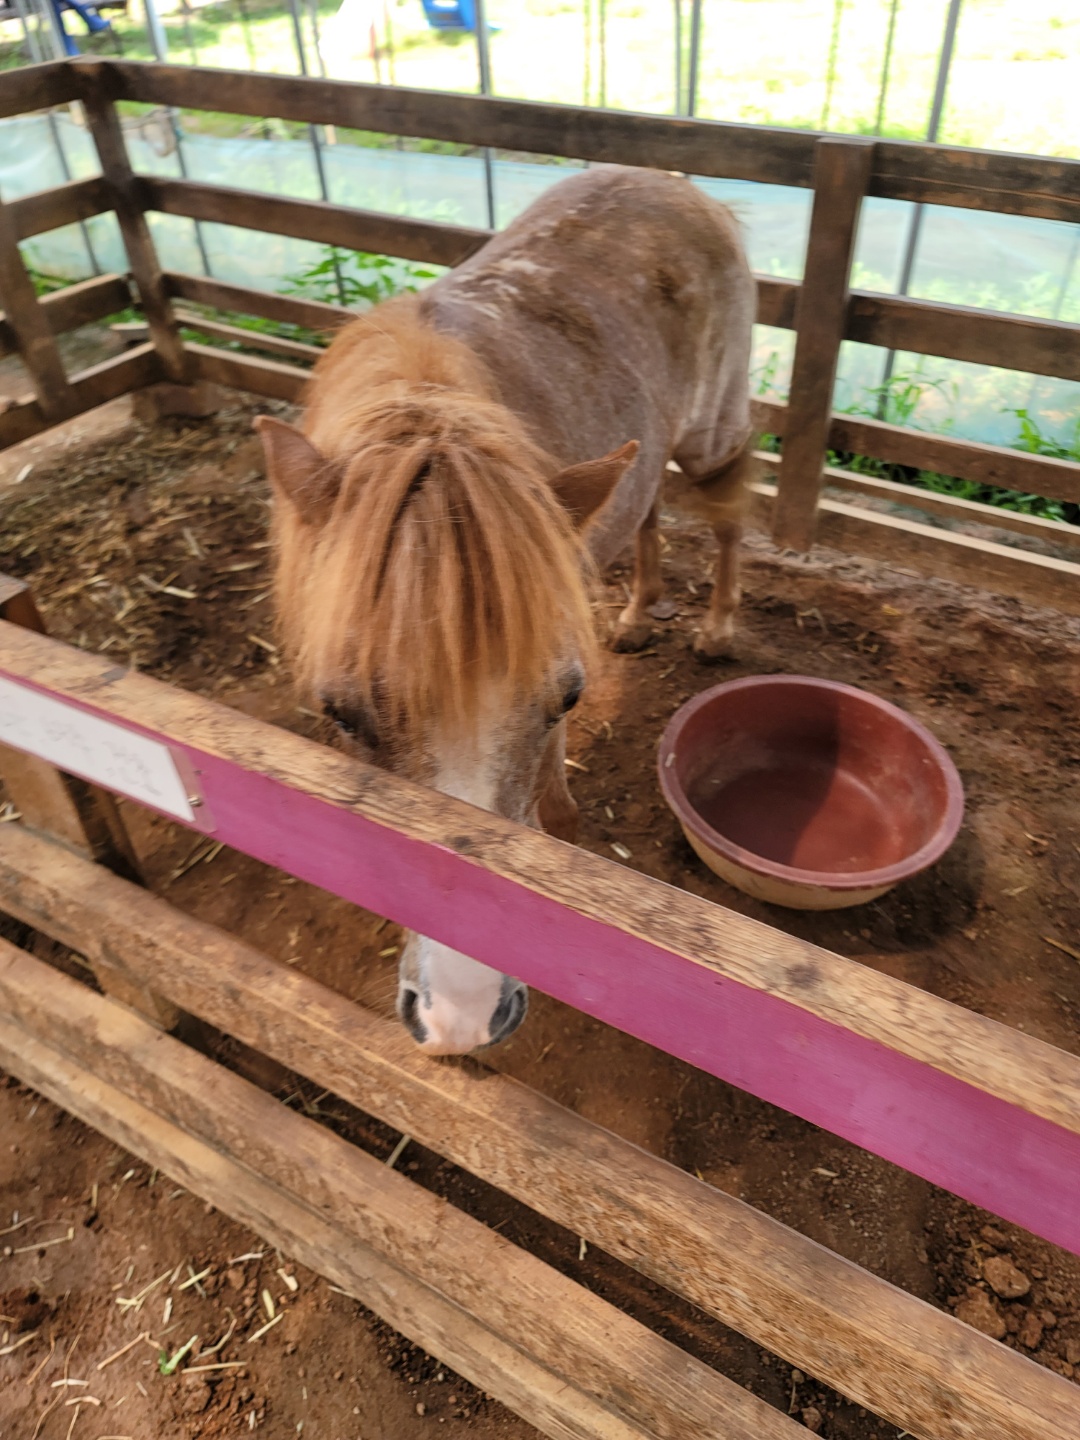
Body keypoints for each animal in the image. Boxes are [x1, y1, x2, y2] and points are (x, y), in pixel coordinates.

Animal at [256, 164, 755, 1056]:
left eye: (568, 697)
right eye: (339, 712)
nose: (460, 1020)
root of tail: (678, 183)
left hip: (711, 433)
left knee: (727, 514)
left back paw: (719, 628)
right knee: (647, 508)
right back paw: (637, 615)